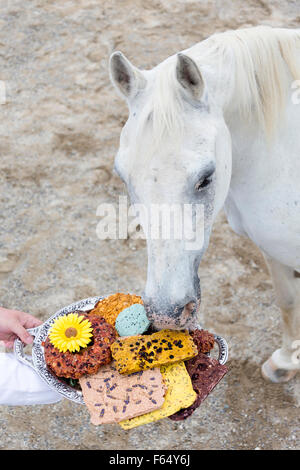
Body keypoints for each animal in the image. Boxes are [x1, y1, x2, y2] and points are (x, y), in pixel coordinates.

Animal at [109, 26, 300, 382]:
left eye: (206, 178)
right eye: (123, 176)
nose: (166, 314)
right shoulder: (273, 250)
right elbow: (288, 302)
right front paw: (286, 361)